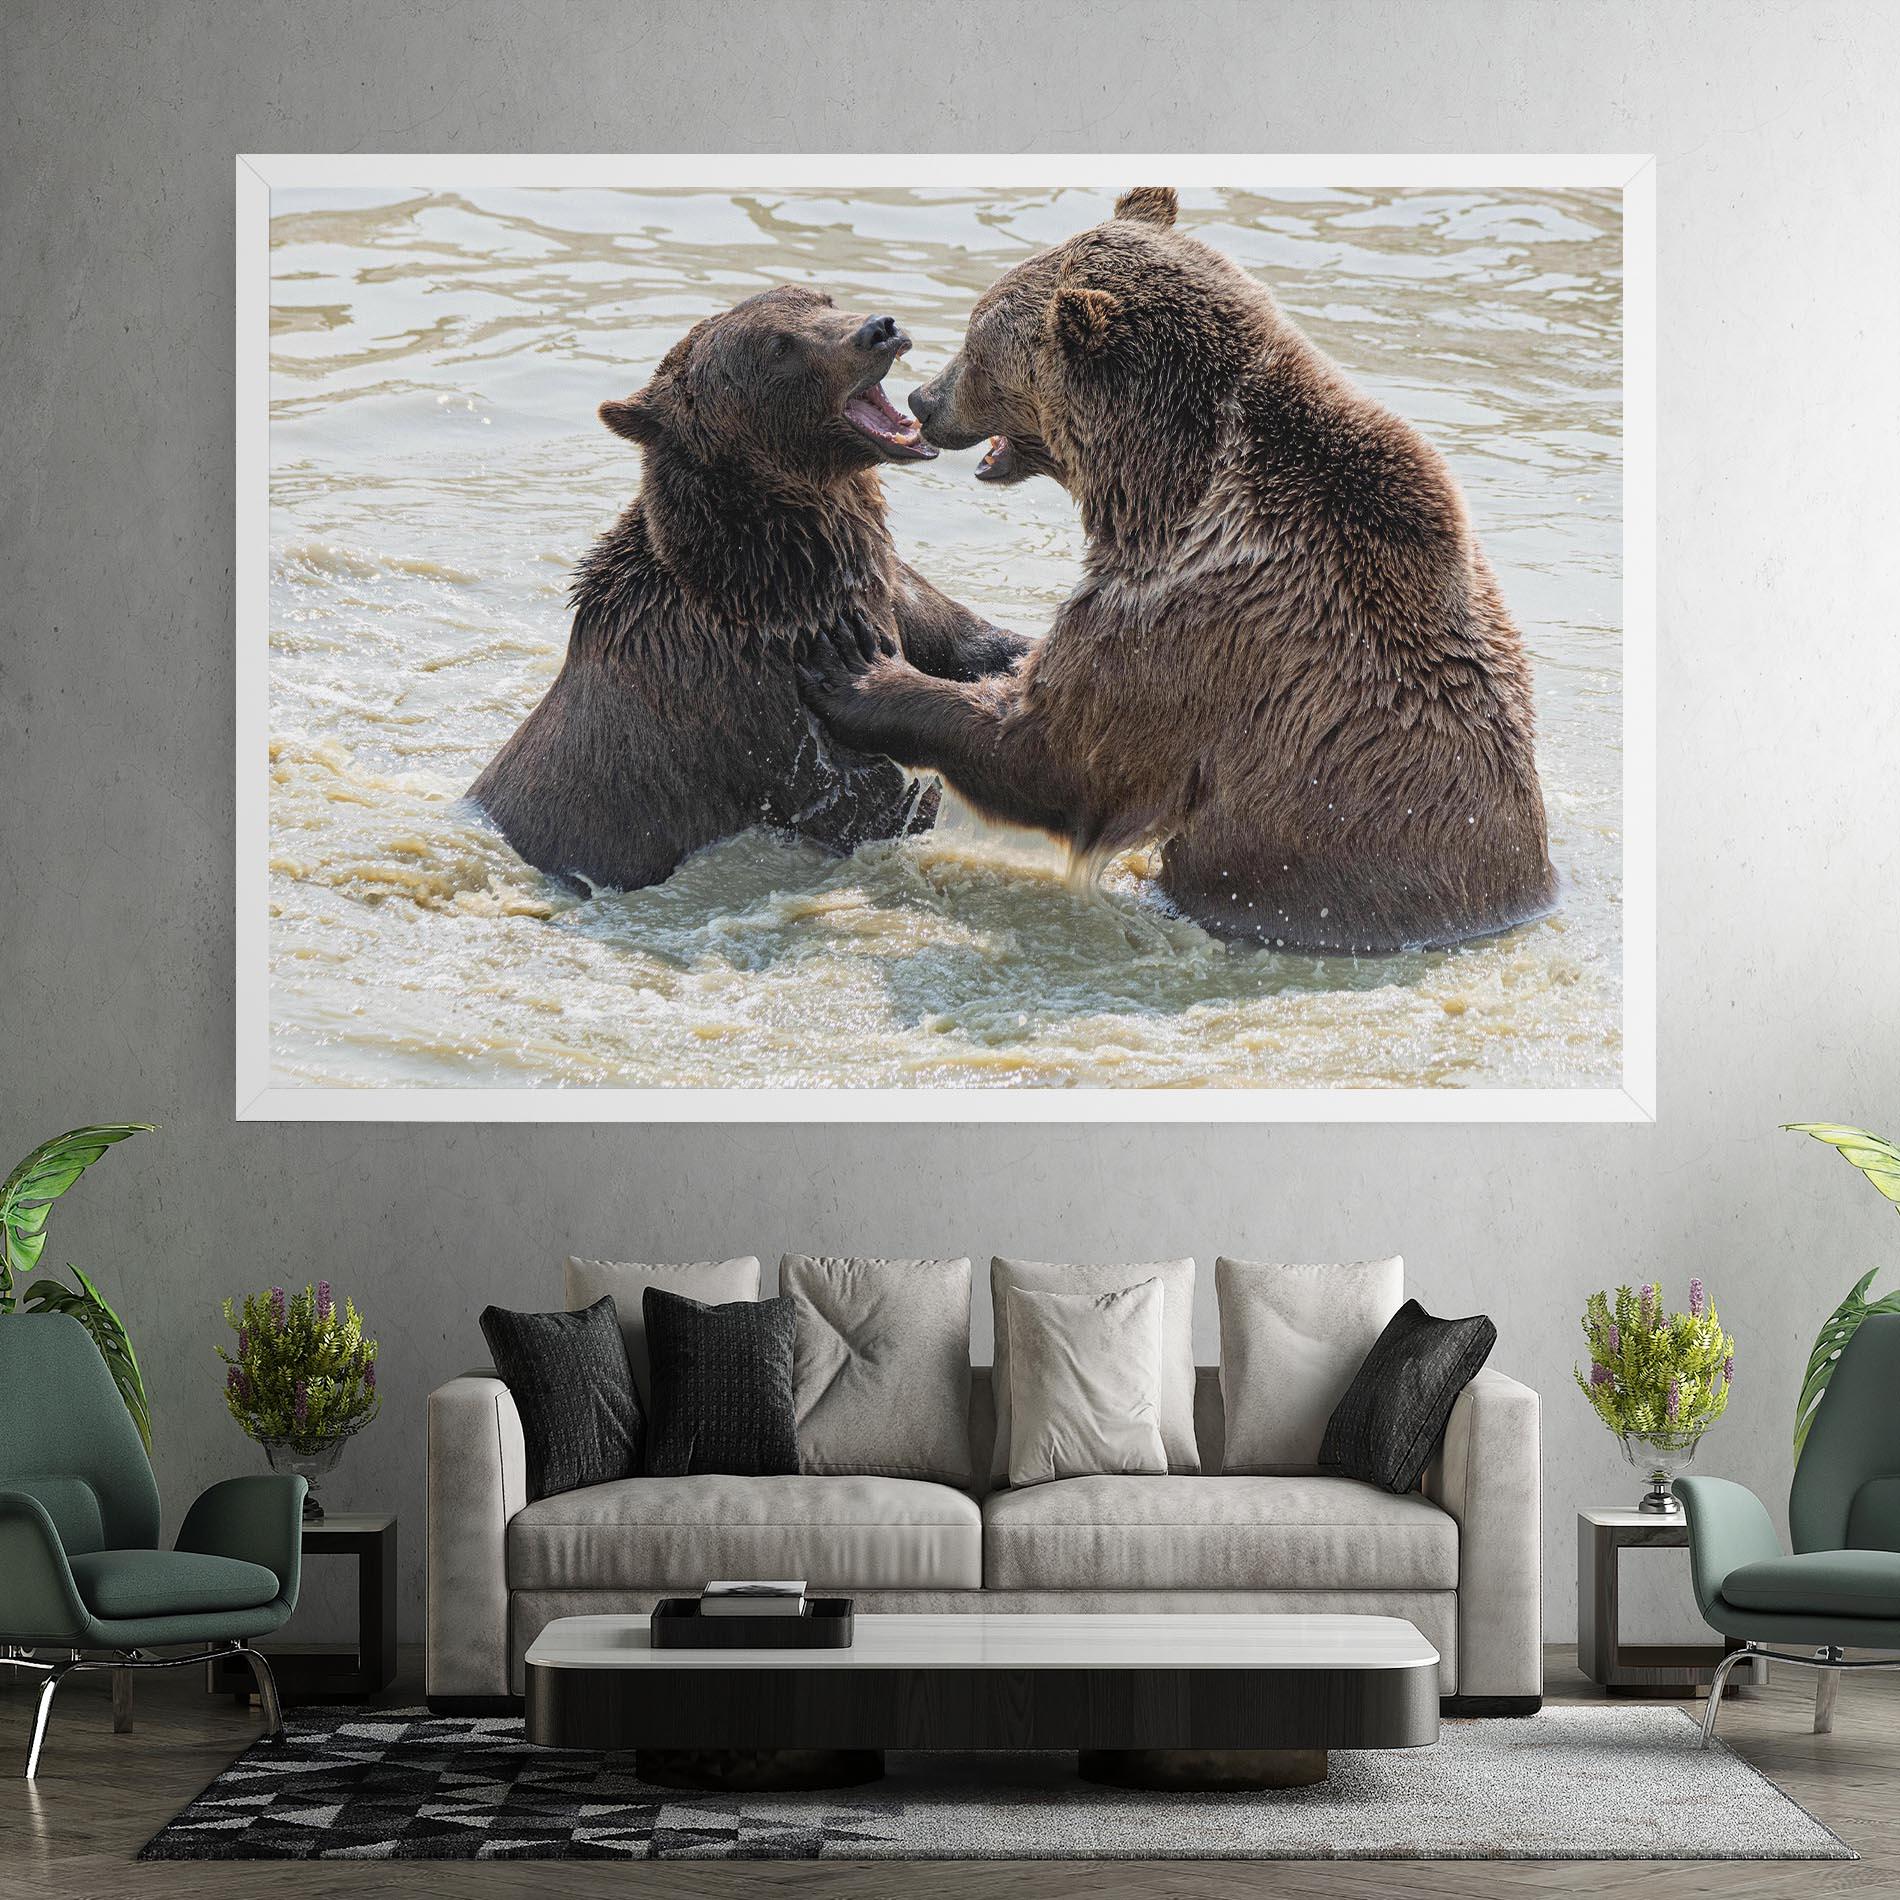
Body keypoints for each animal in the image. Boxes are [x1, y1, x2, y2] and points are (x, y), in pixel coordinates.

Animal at [468, 286, 1029, 894]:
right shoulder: (758, 699)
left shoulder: (889, 587)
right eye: (779, 347)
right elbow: (870, 797)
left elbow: (974, 643)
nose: (880, 329)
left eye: (821, 299)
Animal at [798, 187, 1557, 955]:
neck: (1161, 490)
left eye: (978, 344)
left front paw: (858, 671)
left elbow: (1056, 751)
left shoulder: (1191, 620)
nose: (925, 399)